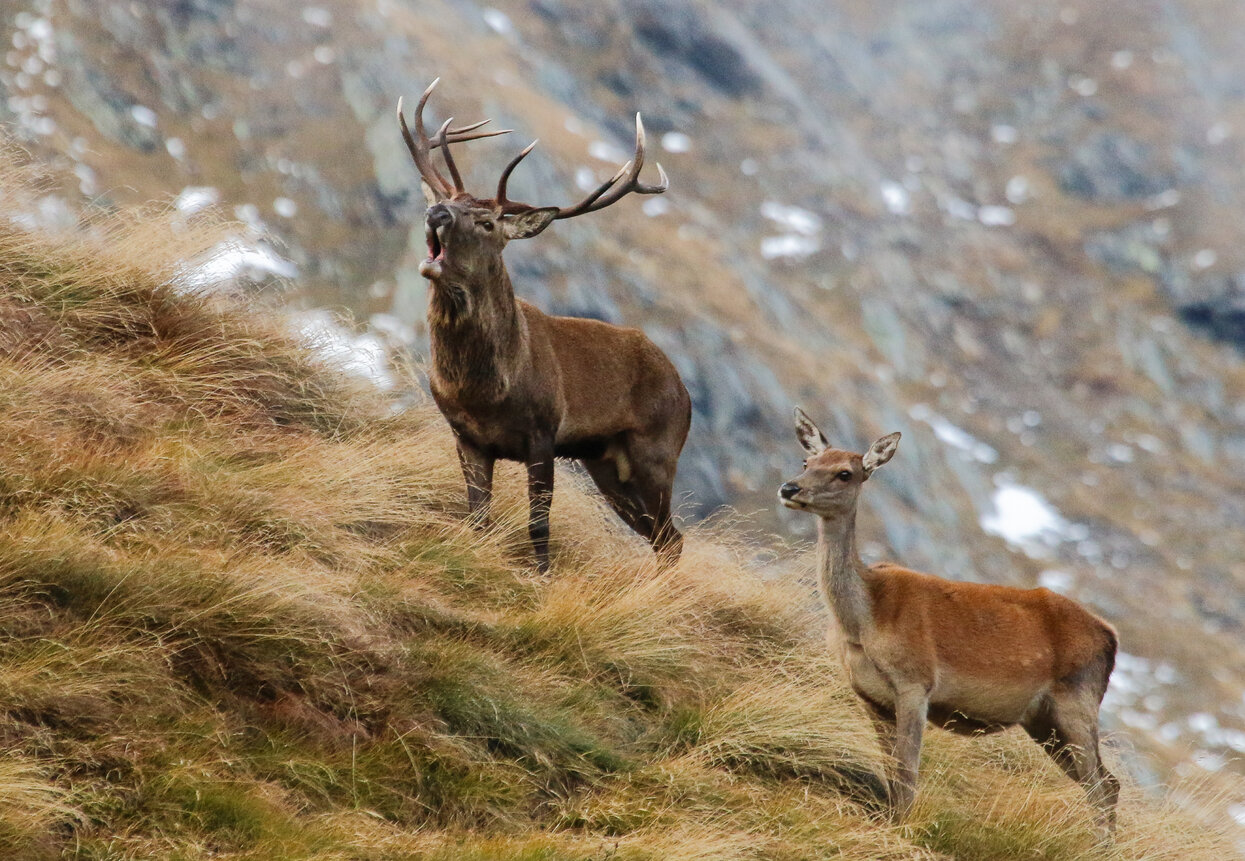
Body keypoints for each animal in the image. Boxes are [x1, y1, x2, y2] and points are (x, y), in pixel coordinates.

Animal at [393, 82, 692, 572]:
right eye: (444, 202)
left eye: (486, 221)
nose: (436, 214)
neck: (484, 390)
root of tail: (685, 392)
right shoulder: (465, 436)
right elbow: (478, 517)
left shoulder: (543, 432)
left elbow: (538, 523)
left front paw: (543, 575)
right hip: (605, 464)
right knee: (659, 535)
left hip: (657, 451)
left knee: (671, 538)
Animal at [776, 410, 1120, 836]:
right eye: (807, 462)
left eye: (845, 473)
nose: (790, 487)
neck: (862, 621)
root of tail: (1111, 637)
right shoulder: (869, 695)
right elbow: (892, 772)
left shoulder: (916, 681)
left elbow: (908, 775)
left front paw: (901, 829)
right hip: (1043, 721)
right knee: (1106, 783)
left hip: (1078, 701)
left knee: (1101, 786)